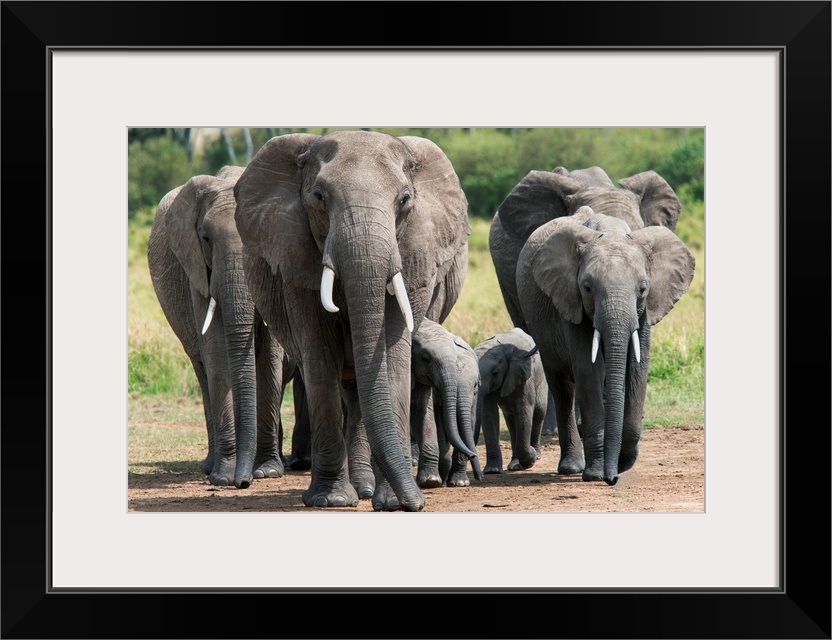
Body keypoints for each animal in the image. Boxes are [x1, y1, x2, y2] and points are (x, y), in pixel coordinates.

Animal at [147, 168, 302, 488]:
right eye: (206, 238)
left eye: (259, 240)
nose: (242, 483)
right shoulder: (197, 269)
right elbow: (216, 350)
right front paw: (223, 477)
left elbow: (269, 355)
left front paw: (267, 471)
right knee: (202, 368)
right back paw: (210, 466)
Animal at [234, 129, 472, 510]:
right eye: (319, 197)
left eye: (405, 199)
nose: (417, 504)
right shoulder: (296, 261)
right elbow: (320, 355)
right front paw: (330, 500)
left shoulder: (413, 255)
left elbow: (391, 357)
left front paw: (392, 503)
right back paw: (354, 491)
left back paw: (365, 490)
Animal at [474, 328, 552, 472]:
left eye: (495, 373)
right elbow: (489, 414)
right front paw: (492, 471)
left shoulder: (524, 376)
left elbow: (524, 409)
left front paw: (531, 458)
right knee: (511, 420)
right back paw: (514, 465)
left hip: (542, 379)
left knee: (539, 413)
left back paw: (536, 455)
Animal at [516, 208, 692, 482]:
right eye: (587, 288)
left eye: (643, 289)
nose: (612, 478)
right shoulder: (571, 300)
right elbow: (588, 371)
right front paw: (596, 473)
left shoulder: (645, 310)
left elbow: (637, 368)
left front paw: (622, 463)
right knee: (562, 387)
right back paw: (572, 467)